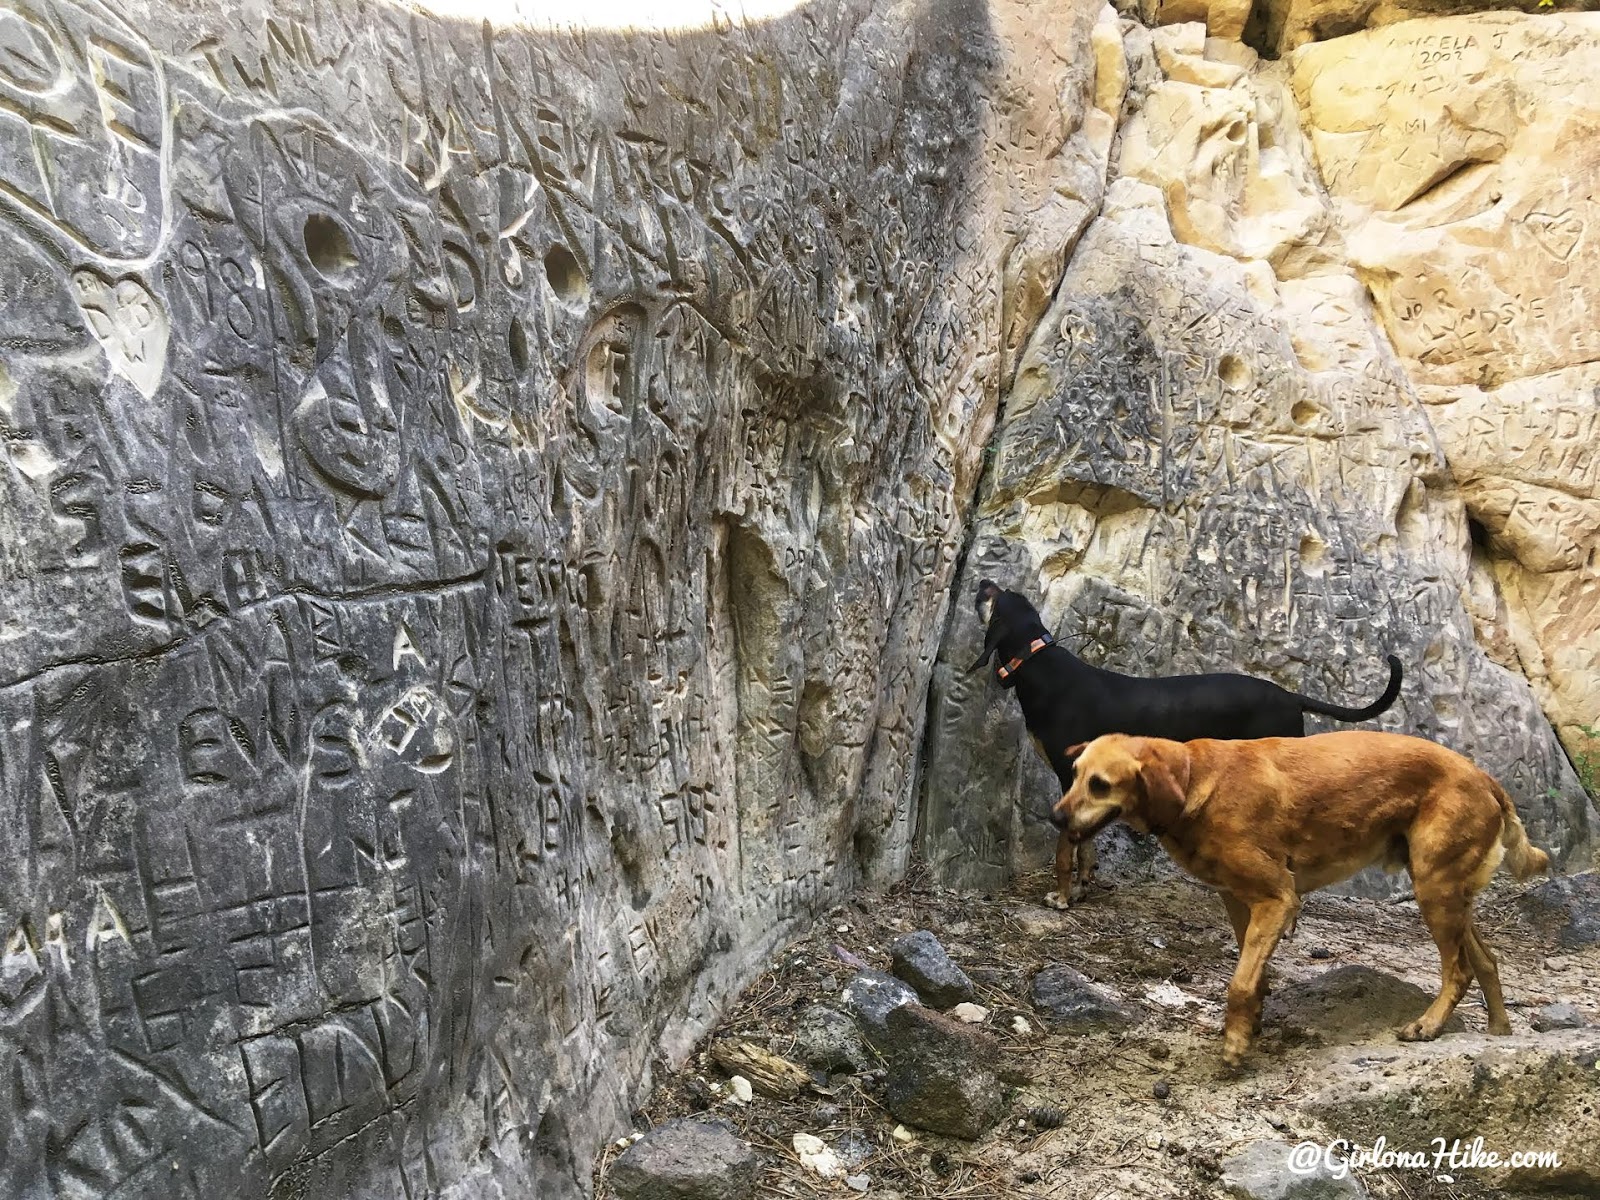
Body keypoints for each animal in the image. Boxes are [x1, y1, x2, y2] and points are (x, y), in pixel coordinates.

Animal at [960, 579, 1401, 908]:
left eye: (994, 597)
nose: (982, 582)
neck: (1040, 664)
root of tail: (1290, 696)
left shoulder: (1070, 780)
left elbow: (1065, 848)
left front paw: (1063, 896)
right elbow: (1086, 845)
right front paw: (1083, 886)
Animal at [1049, 729, 1548, 1075]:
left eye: (1099, 784)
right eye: (1074, 776)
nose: (1053, 818)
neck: (1193, 780)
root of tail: (1485, 777)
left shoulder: (1278, 899)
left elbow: (1239, 983)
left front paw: (1235, 1046)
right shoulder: (1239, 901)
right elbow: (1254, 973)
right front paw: (1250, 1026)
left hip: (1434, 890)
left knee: (1459, 970)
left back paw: (1428, 1025)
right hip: (1449, 893)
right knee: (1486, 961)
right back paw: (1499, 1031)